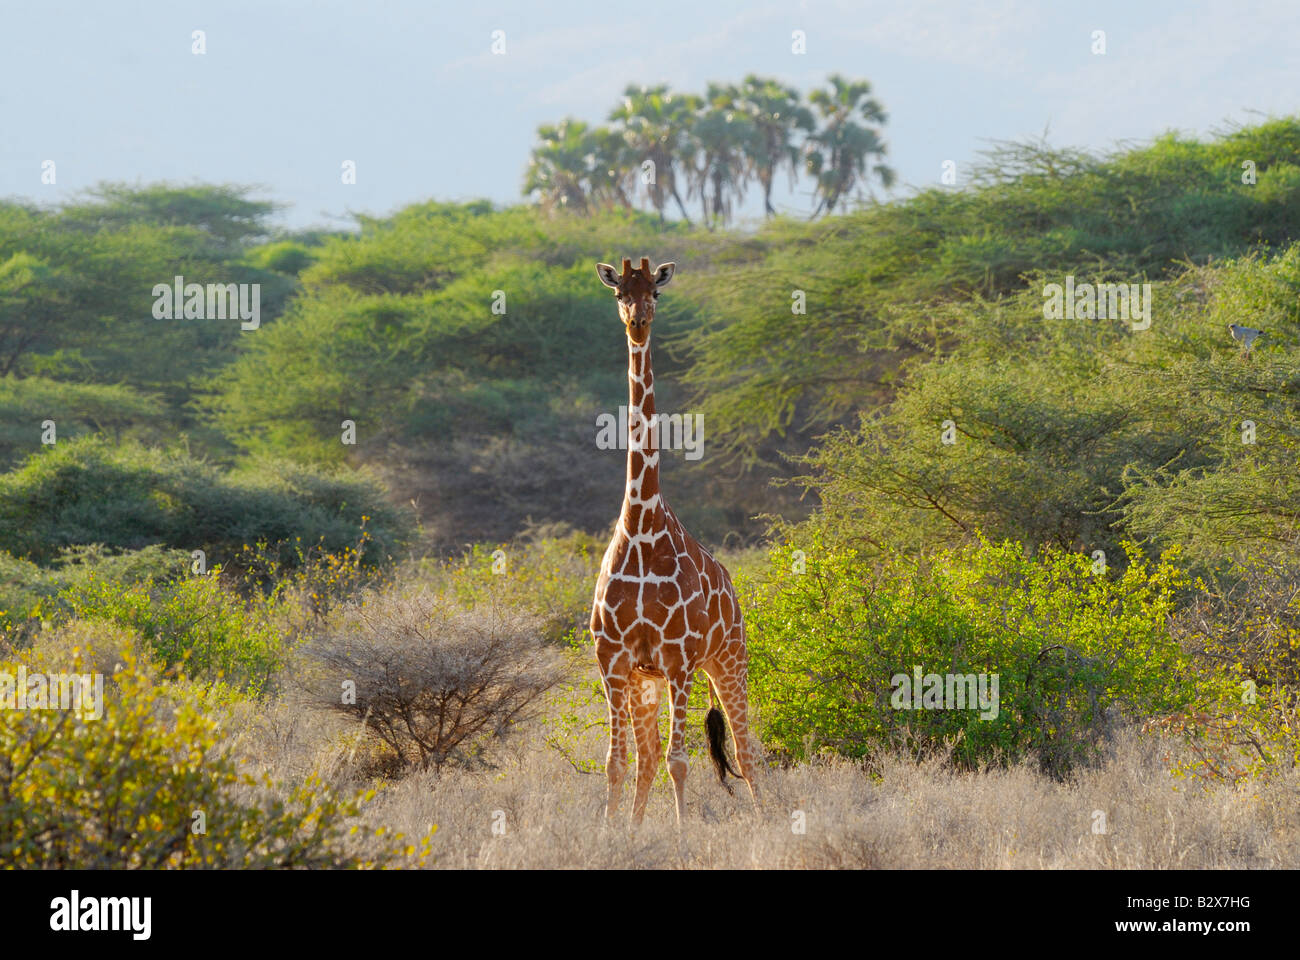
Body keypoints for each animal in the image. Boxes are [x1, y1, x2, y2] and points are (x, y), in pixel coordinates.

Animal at [592, 254, 759, 822]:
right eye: (618, 290)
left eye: (656, 293)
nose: (637, 321)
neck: (643, 527)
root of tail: (732, 588)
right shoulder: (615, 661)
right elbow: (617, 763)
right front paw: (613, 833)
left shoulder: (680, 660)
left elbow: (679, 762)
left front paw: (684, 835)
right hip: (648, 680)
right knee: (645, 758)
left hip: (729, 658)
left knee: (748, 752)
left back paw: (770, 821)